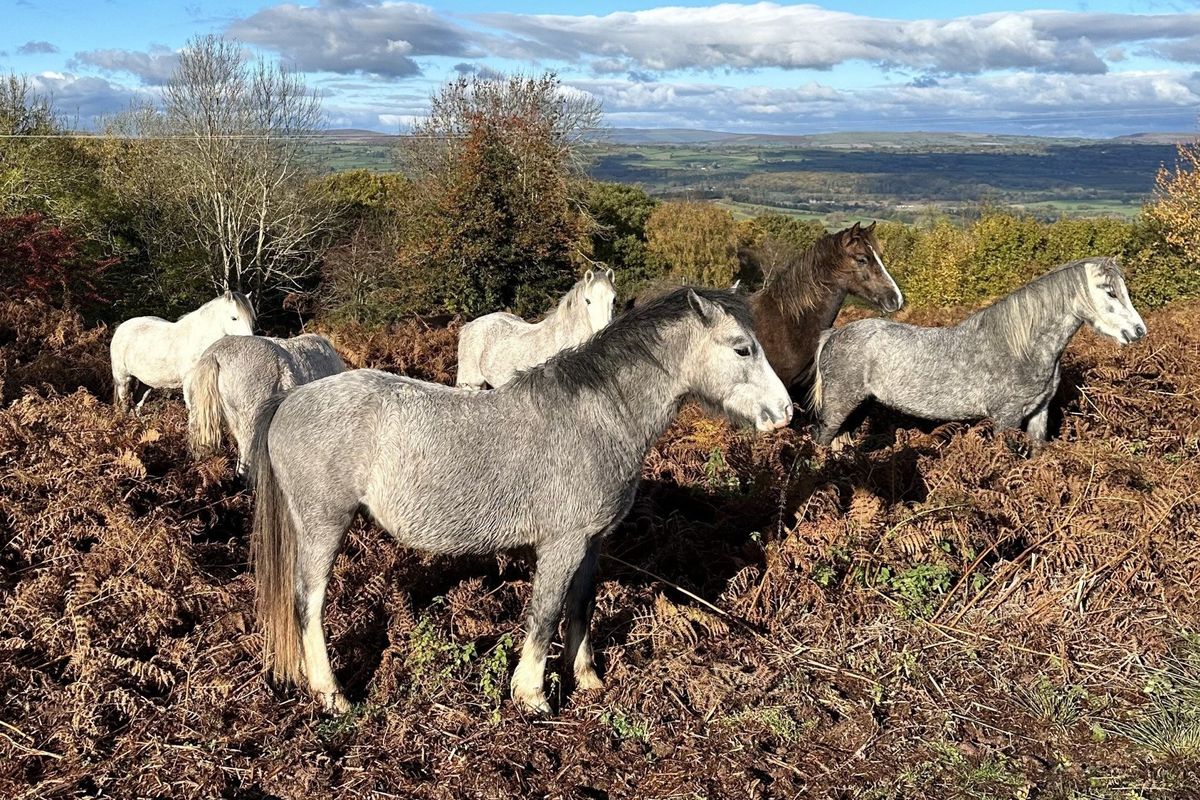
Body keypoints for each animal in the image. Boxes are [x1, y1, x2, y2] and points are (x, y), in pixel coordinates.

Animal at [110, 291, 256, 413]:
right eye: (234, 318)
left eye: (251, 319)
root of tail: (121, 328)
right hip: (123, 379)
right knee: (126, 405)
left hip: (145, 382)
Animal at [250, 287, 793, 713]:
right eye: (743, 349)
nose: (785, 412)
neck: (597, 417)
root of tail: (290, 400)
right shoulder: (561, 545)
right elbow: (546, 612)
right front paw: (532, 694)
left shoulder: (591, 544)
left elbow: (580, 604)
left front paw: (587, 678)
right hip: (324, 526)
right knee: (308, 604)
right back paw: (332, 694)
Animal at [810, 257, 1146, 446]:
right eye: (1110, 292)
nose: (1138, 331)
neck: (1022, 347)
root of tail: (832, 334)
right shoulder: (1006, 418)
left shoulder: (1039, 414)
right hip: (839, 407)